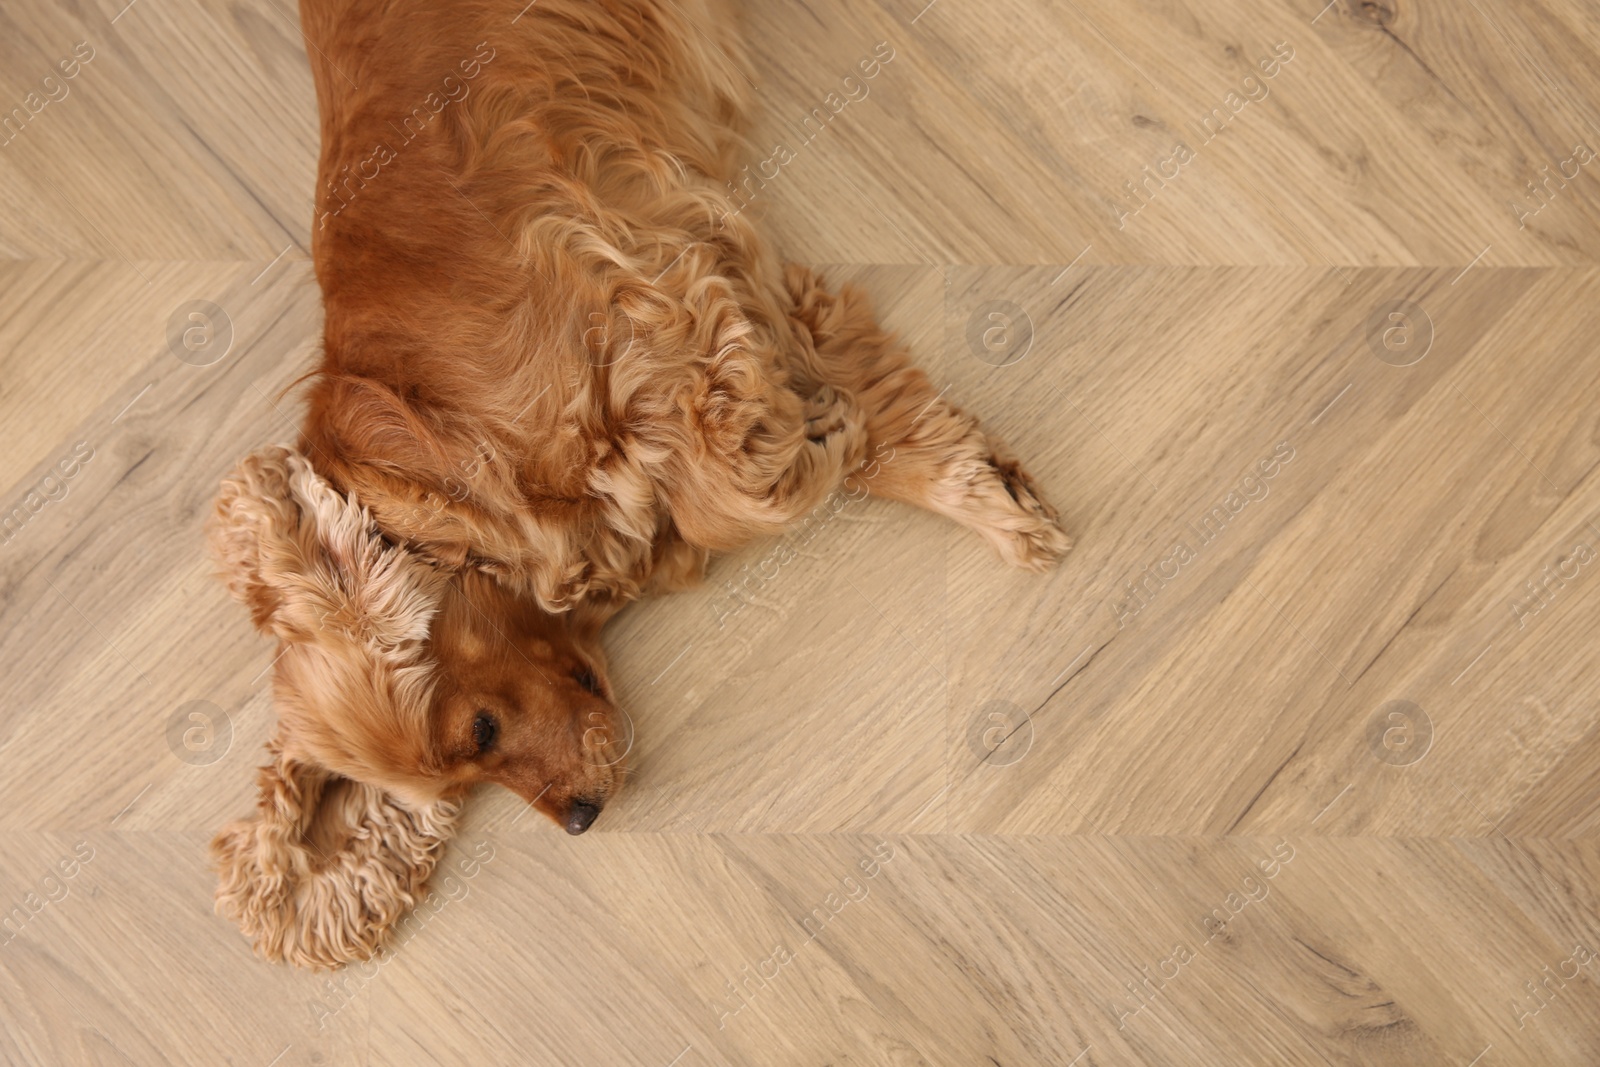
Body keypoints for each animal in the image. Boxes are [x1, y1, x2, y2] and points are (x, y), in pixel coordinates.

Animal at [209, 0, 1062, 972]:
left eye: (481, 732)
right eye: (466, 777)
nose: (583, 818)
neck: (442, 460)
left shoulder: (650, 278)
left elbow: (729, 488)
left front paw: (814, 440)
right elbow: (862, 414)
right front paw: (977, 485)